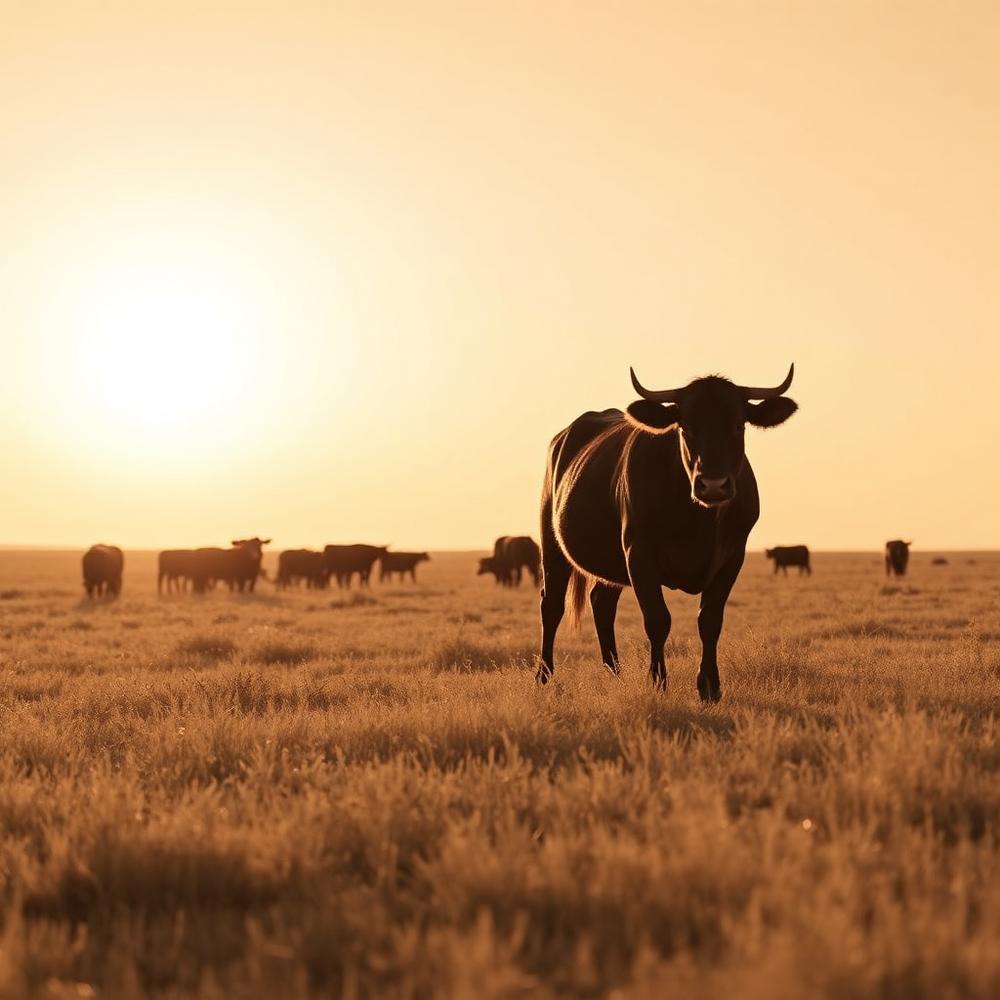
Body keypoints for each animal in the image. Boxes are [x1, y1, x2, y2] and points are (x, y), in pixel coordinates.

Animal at [538, 364, 797, 702]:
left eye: (738, 426)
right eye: (686, 427)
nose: (713, 485)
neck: (697, 521)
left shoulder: (733, 557)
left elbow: (710, 621)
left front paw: (709, 686)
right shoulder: (638, 553)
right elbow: (658, 620)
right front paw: (658, 681)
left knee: (602, 603)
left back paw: (615, 674)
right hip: (551, 541)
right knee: (552, 605)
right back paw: (544, 676)